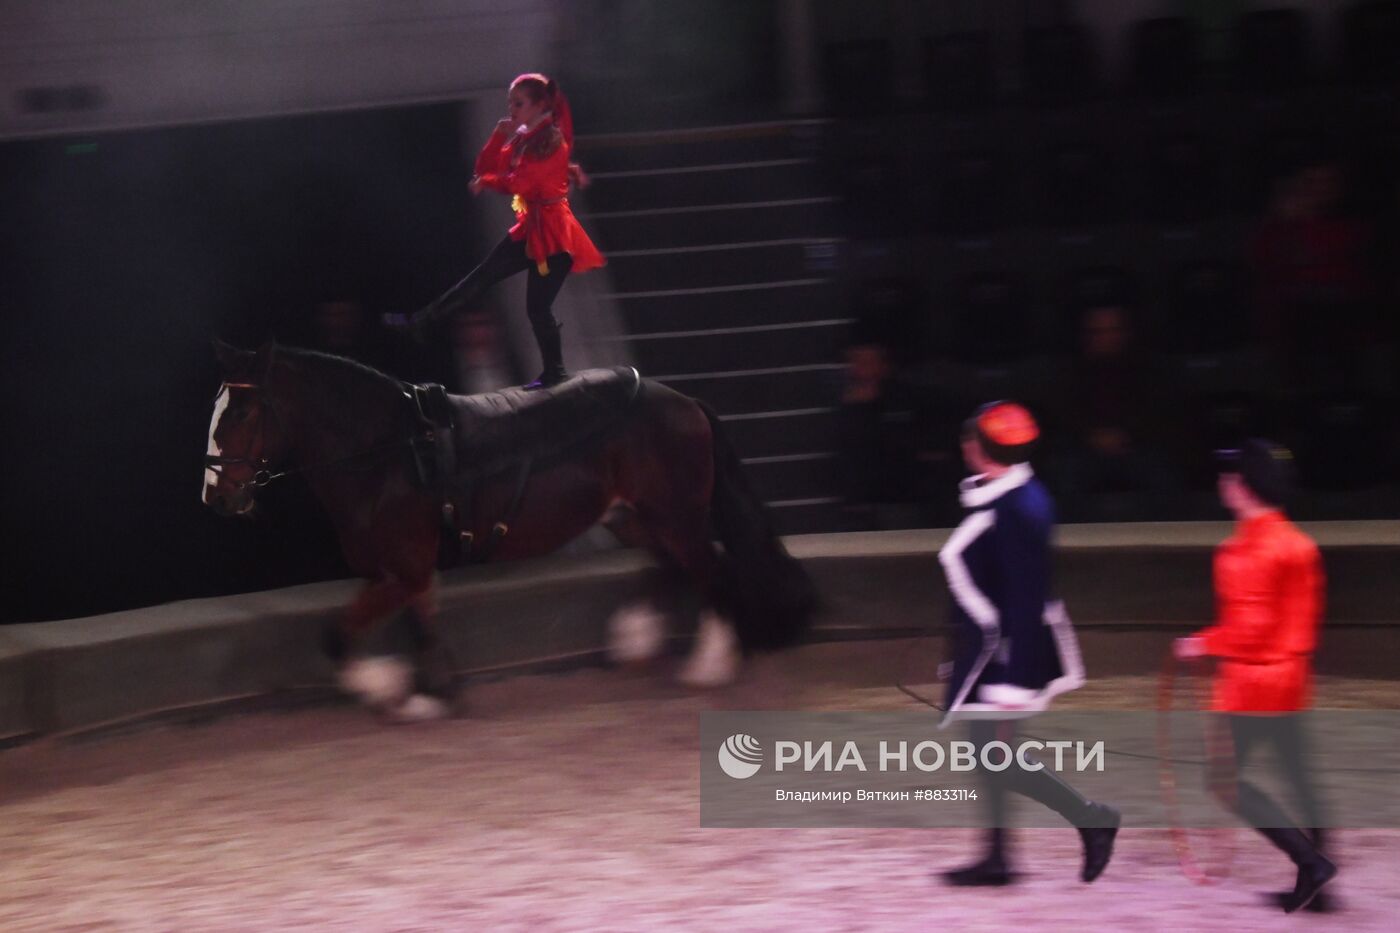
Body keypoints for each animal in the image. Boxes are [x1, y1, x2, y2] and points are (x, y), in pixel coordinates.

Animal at [208, 341, 817, 717]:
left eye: (239, 413)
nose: (216, 495)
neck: (390, 452)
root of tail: (684, 400)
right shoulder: (408, 573)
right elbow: (420, 626)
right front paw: (433, 696)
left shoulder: (403, 570)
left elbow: (337, 636)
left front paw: (387, 688)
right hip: (634, 516)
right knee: (672, 565)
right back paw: (635, 636)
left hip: (677, 515)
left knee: (710, 569)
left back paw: (711, 664)